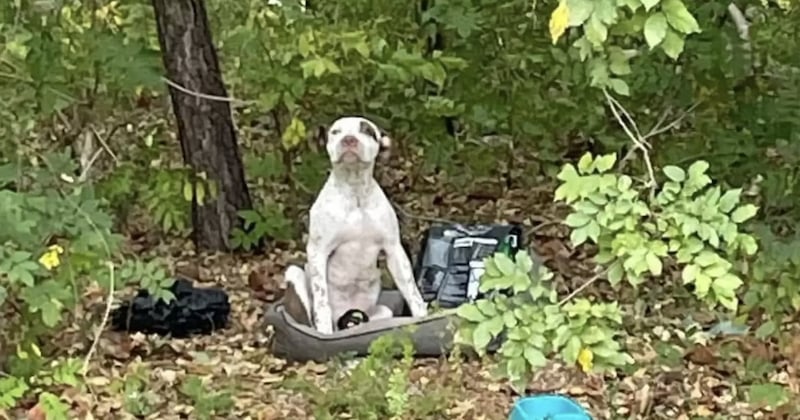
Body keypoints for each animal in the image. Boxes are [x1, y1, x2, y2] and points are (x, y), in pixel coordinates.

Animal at [284, 116, 428, 334]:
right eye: (335, 132)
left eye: (367, 131)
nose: (349, 139)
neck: (355, 192)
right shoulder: (318, 251)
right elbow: (321, 301)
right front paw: (324, 331)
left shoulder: (394, 249)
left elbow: (412, 292)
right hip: (294, 274)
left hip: (381, 312)